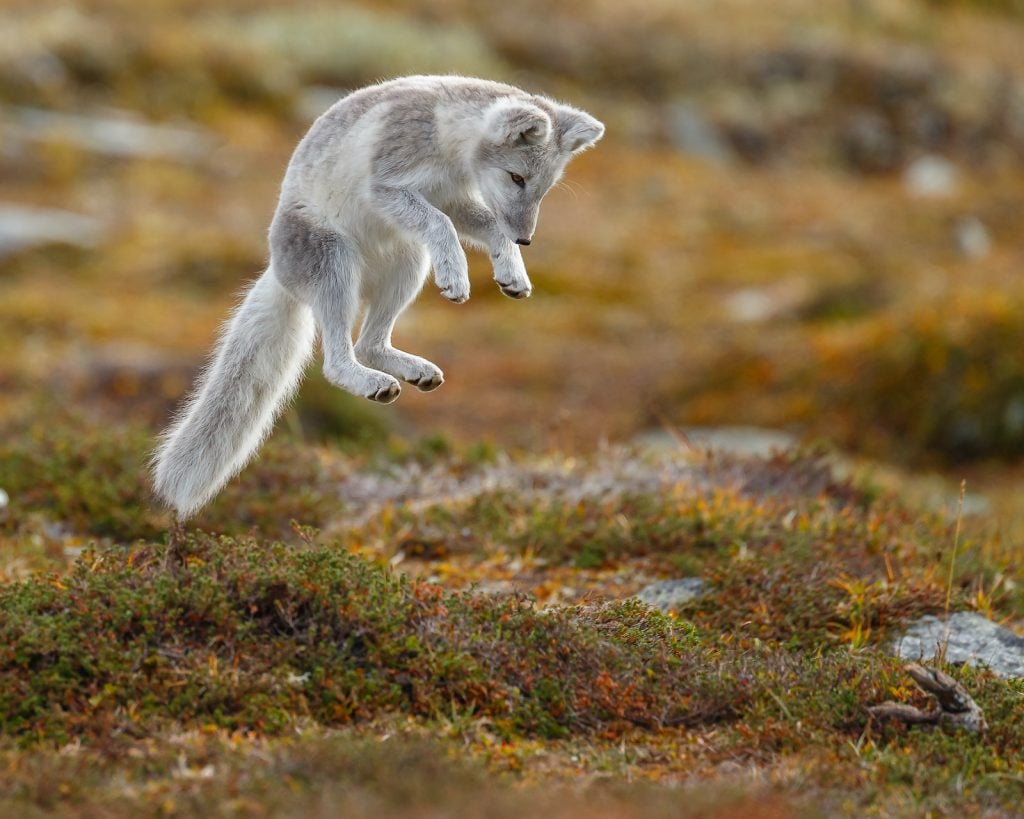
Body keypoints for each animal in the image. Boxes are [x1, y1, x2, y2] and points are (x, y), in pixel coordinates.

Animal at [151, 73, 598, 515]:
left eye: (544, 188)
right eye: (516, 177)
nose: (526, 239)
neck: (447, 139)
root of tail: (278, 270)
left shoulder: (451, 197)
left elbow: (485, 226)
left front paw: (511, 271)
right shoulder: (389, 185)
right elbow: (442, 224)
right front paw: (457, 275)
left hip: (409, 262)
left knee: (370, 343)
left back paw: (411, 370)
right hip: (337, 261)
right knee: (336, 359)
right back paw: (369, 381)